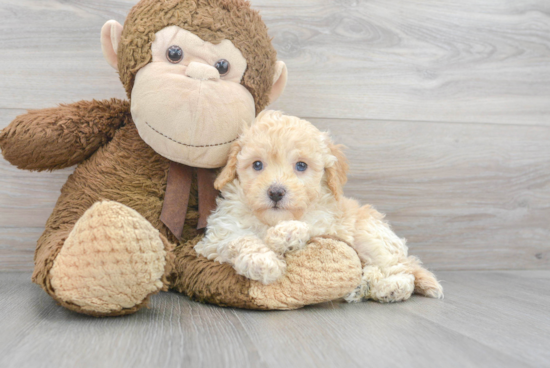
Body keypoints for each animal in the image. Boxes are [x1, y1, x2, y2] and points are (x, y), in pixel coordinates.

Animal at [196, 110, 446, 304]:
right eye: (257, 164)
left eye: (301, 166)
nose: (276, 192)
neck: (270, 220)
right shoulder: (214, 240)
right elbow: (239, 239)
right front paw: (263, 262)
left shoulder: (329, 225)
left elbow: (308, 227)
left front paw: (285, 234)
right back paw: (361, 287)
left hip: (372, 237)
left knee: (401, 270)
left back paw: (390, 288)